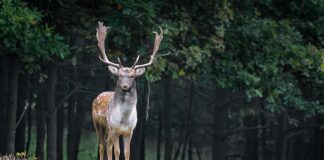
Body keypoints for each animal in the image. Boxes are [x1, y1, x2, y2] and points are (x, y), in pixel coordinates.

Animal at [91, 21, 162, 160]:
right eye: (119, 75)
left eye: (133, 76)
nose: (124, 86)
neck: (123, 120)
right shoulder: (114, 129)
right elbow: (118, 152)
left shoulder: (130, 131)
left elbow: (127, 152)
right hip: (99, 124)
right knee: (102, 145)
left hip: (109, 131)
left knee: (108, 145)